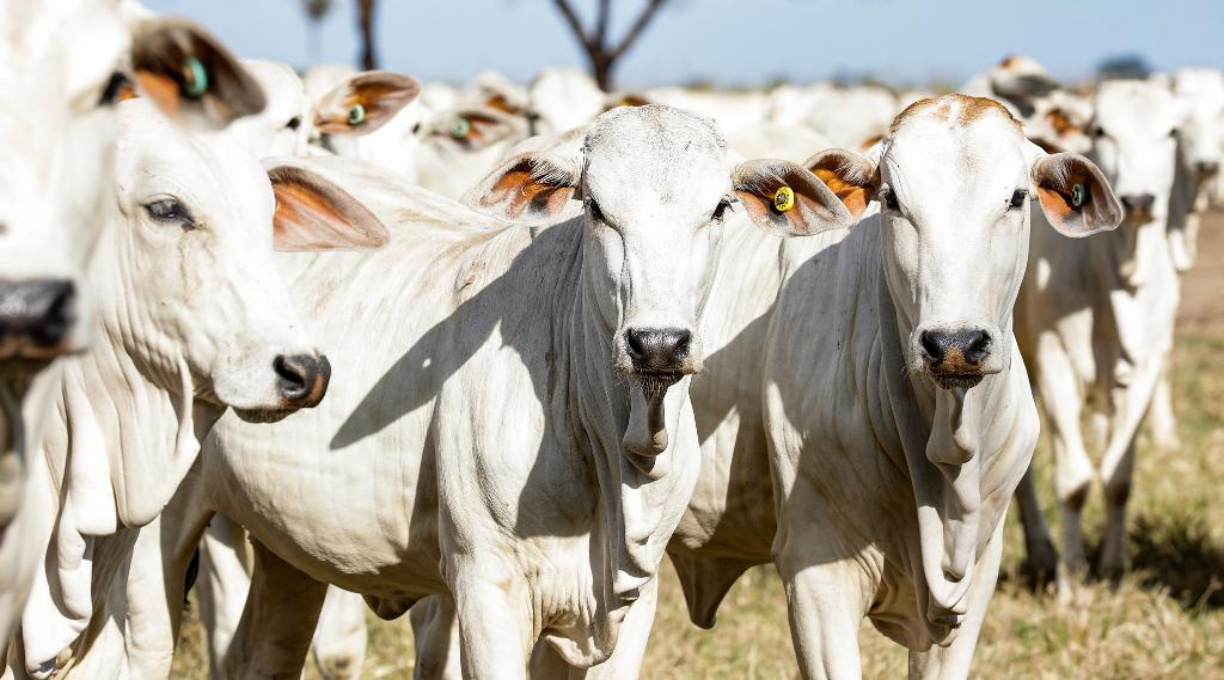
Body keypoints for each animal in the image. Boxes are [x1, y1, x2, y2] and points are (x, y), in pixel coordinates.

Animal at [1013, 80, 1184, 599]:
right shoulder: (1054, 360)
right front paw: (1072, 581)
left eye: (1173, 131)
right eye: (1101, 129)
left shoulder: (1147, 366)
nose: (1141, 199)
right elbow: (1073, 480)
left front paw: (1113, 569)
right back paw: (1042, 552)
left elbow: (1117, 476)